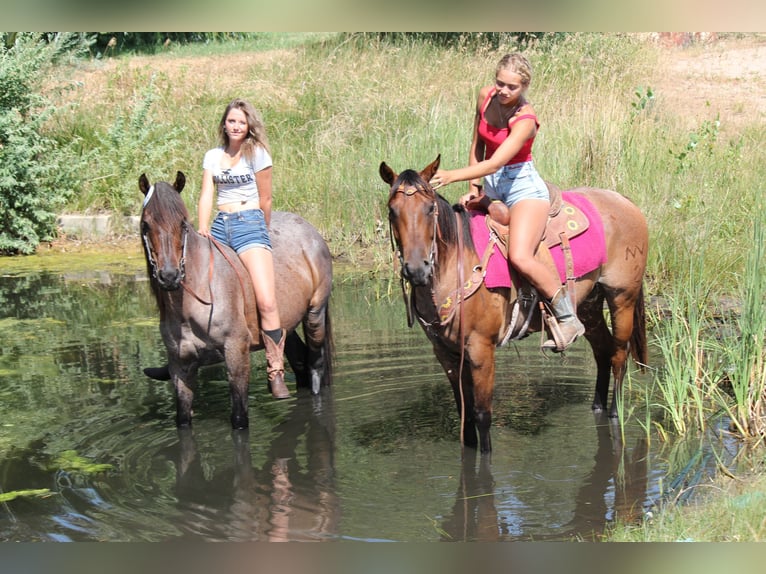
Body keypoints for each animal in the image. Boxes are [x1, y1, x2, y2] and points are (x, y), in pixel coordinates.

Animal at [139, 171, 333, 429]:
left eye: (183, 223)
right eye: (145, 224)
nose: (169, 276)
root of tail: (312, 232)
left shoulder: (236, 354)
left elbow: (239, 419)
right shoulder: (180, 366)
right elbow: (182, 420)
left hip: (315, 314)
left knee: (315, 365)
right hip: (287, 322)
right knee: (298, 359)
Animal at [380, 156, 648, 454]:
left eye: (429, 209)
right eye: (392, 211)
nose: (417, 270)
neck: (455, 267)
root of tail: (624, 201)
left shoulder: (481, 349)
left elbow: (482, 416)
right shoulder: (445, 353)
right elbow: (465, 415)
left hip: (622, 296)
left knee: (619, 354)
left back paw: (614, 412)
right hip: (589, 305)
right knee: (602, 350)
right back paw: (597, 407)